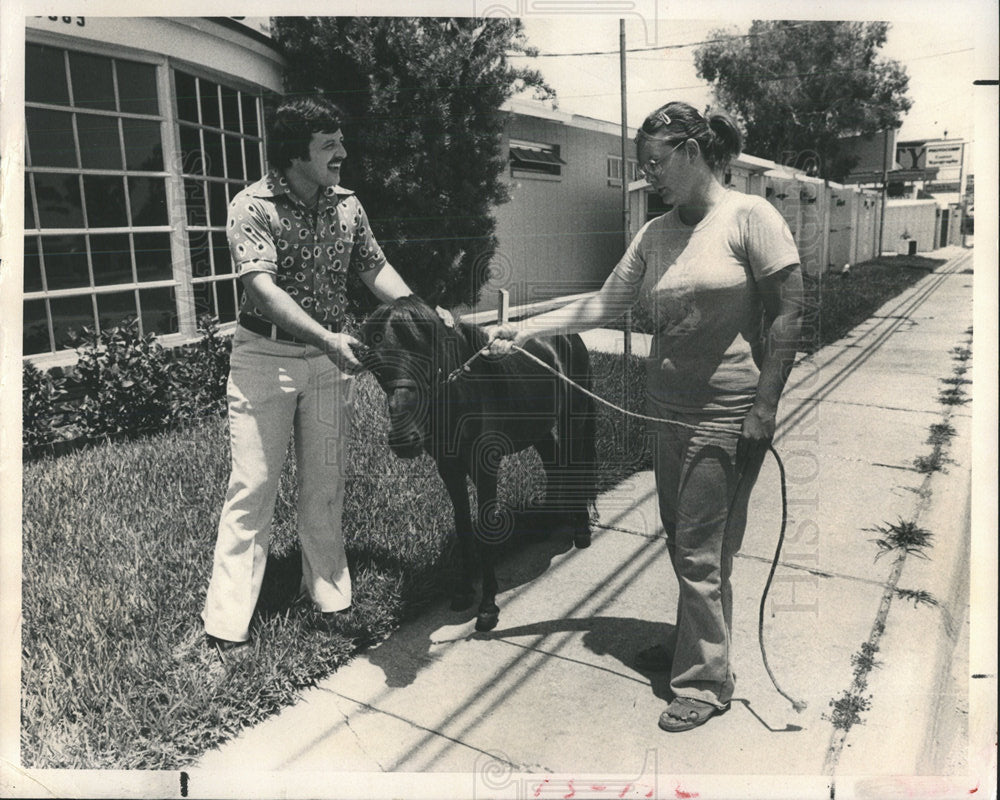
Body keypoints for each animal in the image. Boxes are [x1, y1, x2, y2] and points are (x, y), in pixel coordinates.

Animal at [358, 294, 592, 632]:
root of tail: (570, 338)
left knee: (577, 469)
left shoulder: (486, 468)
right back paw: (548, 524)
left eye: (426, 353)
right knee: (554, 465)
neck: (463, 396)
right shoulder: (450, 470)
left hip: (575, 420)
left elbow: (485, 528)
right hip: (539, 430)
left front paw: (488, 605)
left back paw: (582, 530)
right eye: (377, 366)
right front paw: (465, 590)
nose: (404, 439)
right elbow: (464, 525)